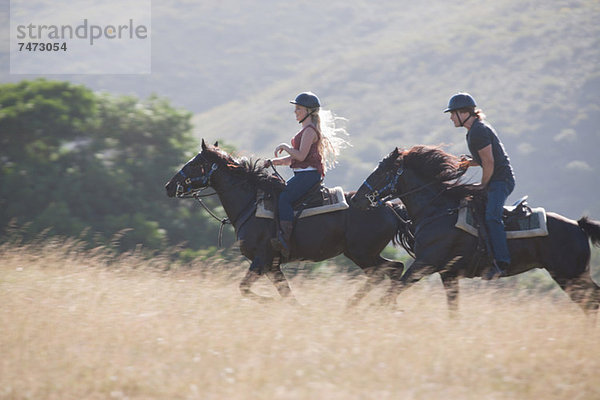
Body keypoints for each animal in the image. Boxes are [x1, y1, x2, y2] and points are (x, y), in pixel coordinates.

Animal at [164, 141, 410, 306]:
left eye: (195, 164)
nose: (168, 186)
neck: (251, 203)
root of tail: (389, 206)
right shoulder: (272, 266)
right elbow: (287, 294)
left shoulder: (261, 260)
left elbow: (245, 288)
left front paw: (269, 302)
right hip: (361, 254)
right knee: (390, 271)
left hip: (362, 253)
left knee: (388, 270)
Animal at [352, 145, 600, 318]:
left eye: (382, 172)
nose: (356, 200)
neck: (438, 210)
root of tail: (578, 225)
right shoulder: (448, 274)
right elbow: (453, 311)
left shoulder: (425, 263)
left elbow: (392, 291)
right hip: (574, 276)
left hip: (570, 276)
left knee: (591, 304)